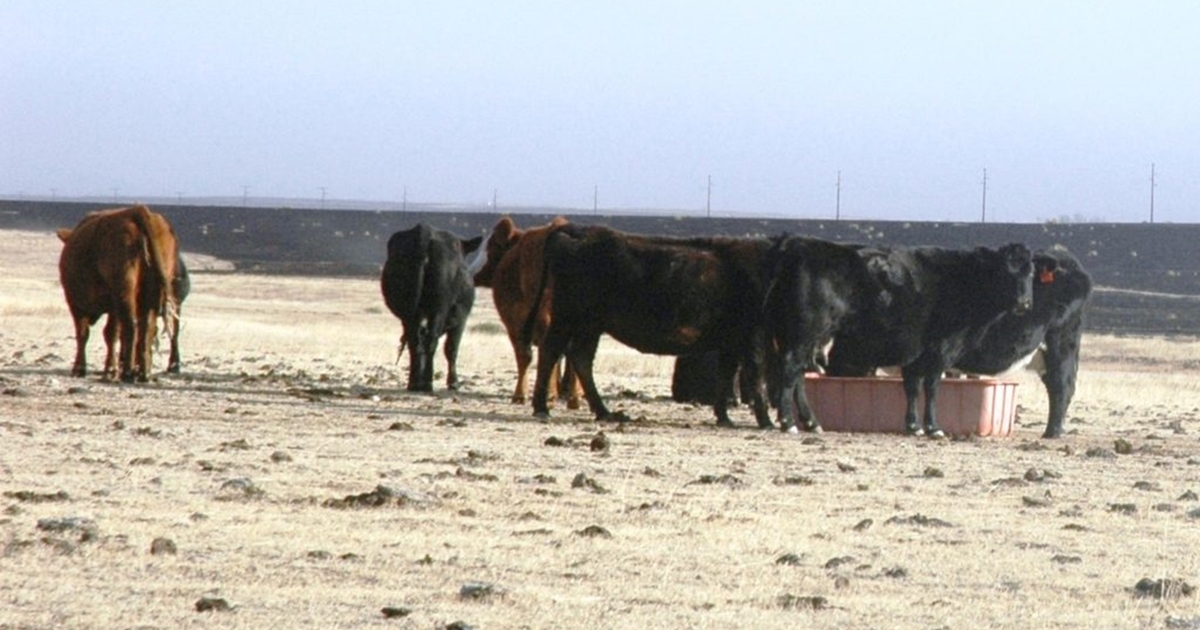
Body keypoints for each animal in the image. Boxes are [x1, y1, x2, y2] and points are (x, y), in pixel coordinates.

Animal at [56, 204, 178, 381]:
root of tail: (137, 210)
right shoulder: (113, 305)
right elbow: (111, 333)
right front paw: (110, 369)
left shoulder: (76, 303)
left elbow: (83, 334)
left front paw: (80, 368)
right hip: (150, 292)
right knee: (146, 327)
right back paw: (144, 373)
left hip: (124, 290)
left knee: (131, 325)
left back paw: (128, 372)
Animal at [379, 220, 482, 388]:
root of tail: (425, 234)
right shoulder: (461, 319)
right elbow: (452, 349)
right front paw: (454, 382)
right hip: (439, 309)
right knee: (431, 341)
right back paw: (427, 383)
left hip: (409, 312)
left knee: (415, 340)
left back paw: (414, 383)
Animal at [472, 216, 580, 408]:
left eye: (490, 247)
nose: (471, 271)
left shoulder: (515, 322)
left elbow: (524, 357)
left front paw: (520, 395)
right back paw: (572, 398)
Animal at [820, 242, 1036, 436]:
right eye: (1004, 273)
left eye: (1030, 273)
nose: (1023, 303)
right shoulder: (939, 352)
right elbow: (931, 388)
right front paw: (933, 427)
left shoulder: (915, 356)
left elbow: (913, 388)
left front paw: (913, 426)